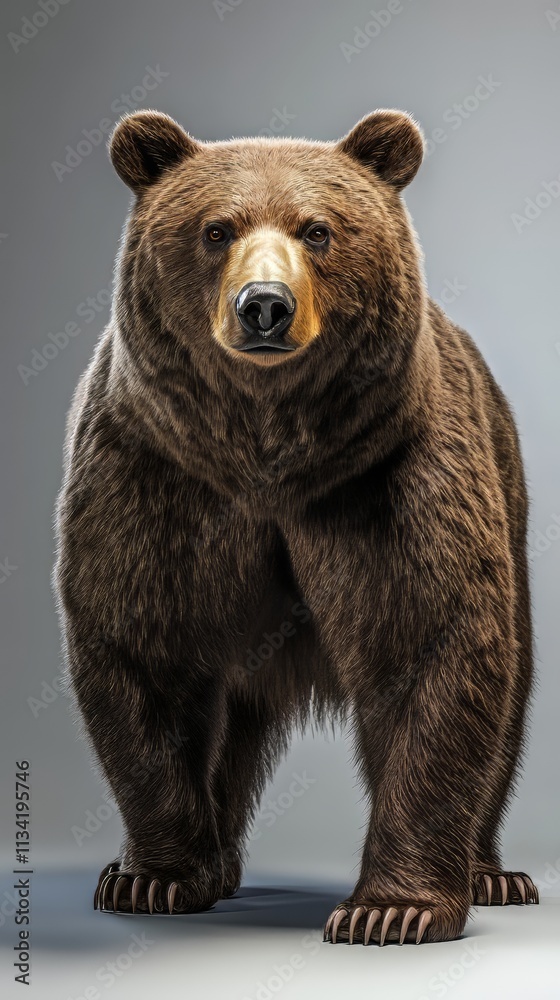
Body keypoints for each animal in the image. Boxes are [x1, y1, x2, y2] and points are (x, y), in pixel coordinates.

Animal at [53, 108, 538, 946]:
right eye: (216, 229)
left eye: (318, 230)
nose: (265, 305)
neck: (266, 455)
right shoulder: (150, 472)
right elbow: (140, 648)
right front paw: (154, 877)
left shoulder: (389, 481)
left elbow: (434, 643)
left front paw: (392, 909)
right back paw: (205, 866)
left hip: (506, 493)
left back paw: (492, 873)